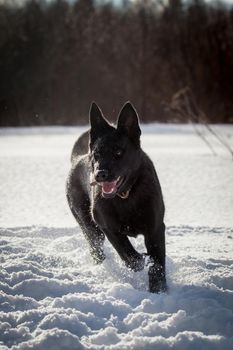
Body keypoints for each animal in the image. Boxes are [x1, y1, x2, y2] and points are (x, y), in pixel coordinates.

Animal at [66, 102, 167, 292]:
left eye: (118, 153)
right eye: (97, 154)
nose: (100, 174)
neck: (126, 195)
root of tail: (77, 159)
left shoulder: (156, 228)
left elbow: (158, 264)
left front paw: (159, 292)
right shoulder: (107, 227)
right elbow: (130, 256)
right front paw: (140, 261)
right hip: (90, 227)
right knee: (96, 250)